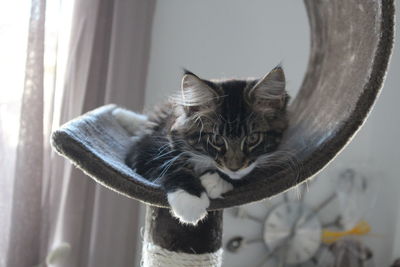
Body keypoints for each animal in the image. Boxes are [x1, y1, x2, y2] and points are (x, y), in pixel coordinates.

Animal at [112, 67, 290, 226]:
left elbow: (251, 172)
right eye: (217, 139)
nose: (234, 168)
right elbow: (171, 165)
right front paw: (191, 200)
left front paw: (215, 181)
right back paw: (119, 114)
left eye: (253, 138)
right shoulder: (147, 148)